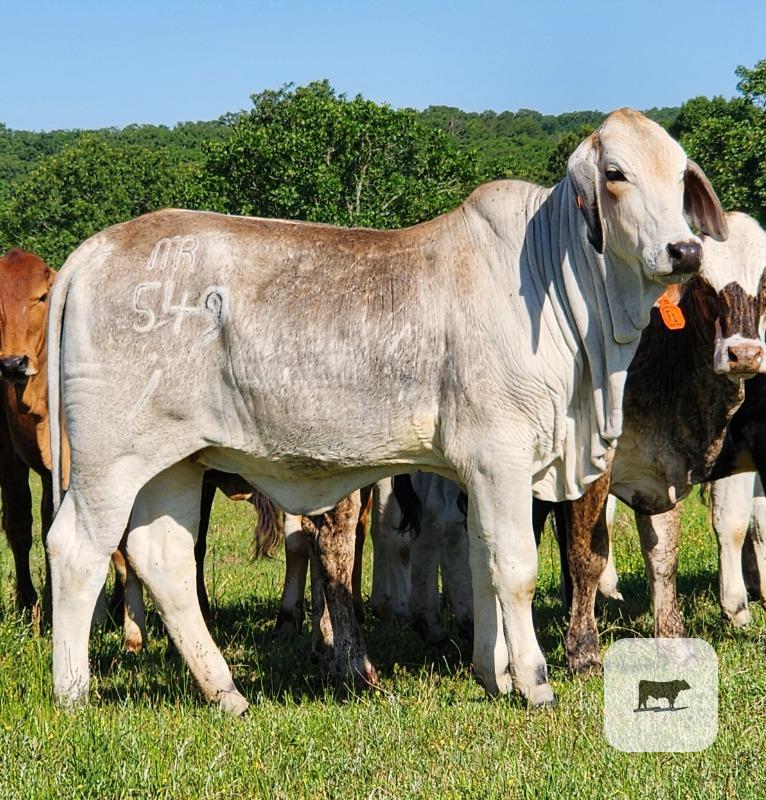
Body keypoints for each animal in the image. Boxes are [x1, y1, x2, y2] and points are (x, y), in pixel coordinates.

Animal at [46, 109, 725, 713]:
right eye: (615, 173)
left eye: (679, 175)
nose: (685, 250)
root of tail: (92, 251)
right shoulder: (501, 457)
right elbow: (513, 569)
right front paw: (534, 682)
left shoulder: (477, 472)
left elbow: (479, 562)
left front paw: (493, 675)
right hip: (109, 460)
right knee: (75, 548)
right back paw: (73, 693)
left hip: (176, 463)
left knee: (163, 560)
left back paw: (227, 694)